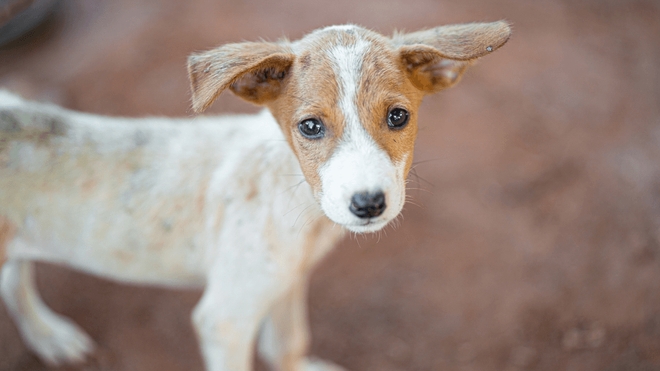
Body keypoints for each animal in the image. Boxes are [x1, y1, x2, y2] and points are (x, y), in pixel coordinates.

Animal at [0, 22, 510, 371]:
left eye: (399, 116)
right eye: (310, 126)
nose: (368, 203)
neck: (292, 195)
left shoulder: (285, 281)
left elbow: (288, 345)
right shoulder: (225, 316)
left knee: (15, 277)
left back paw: (47, 335)